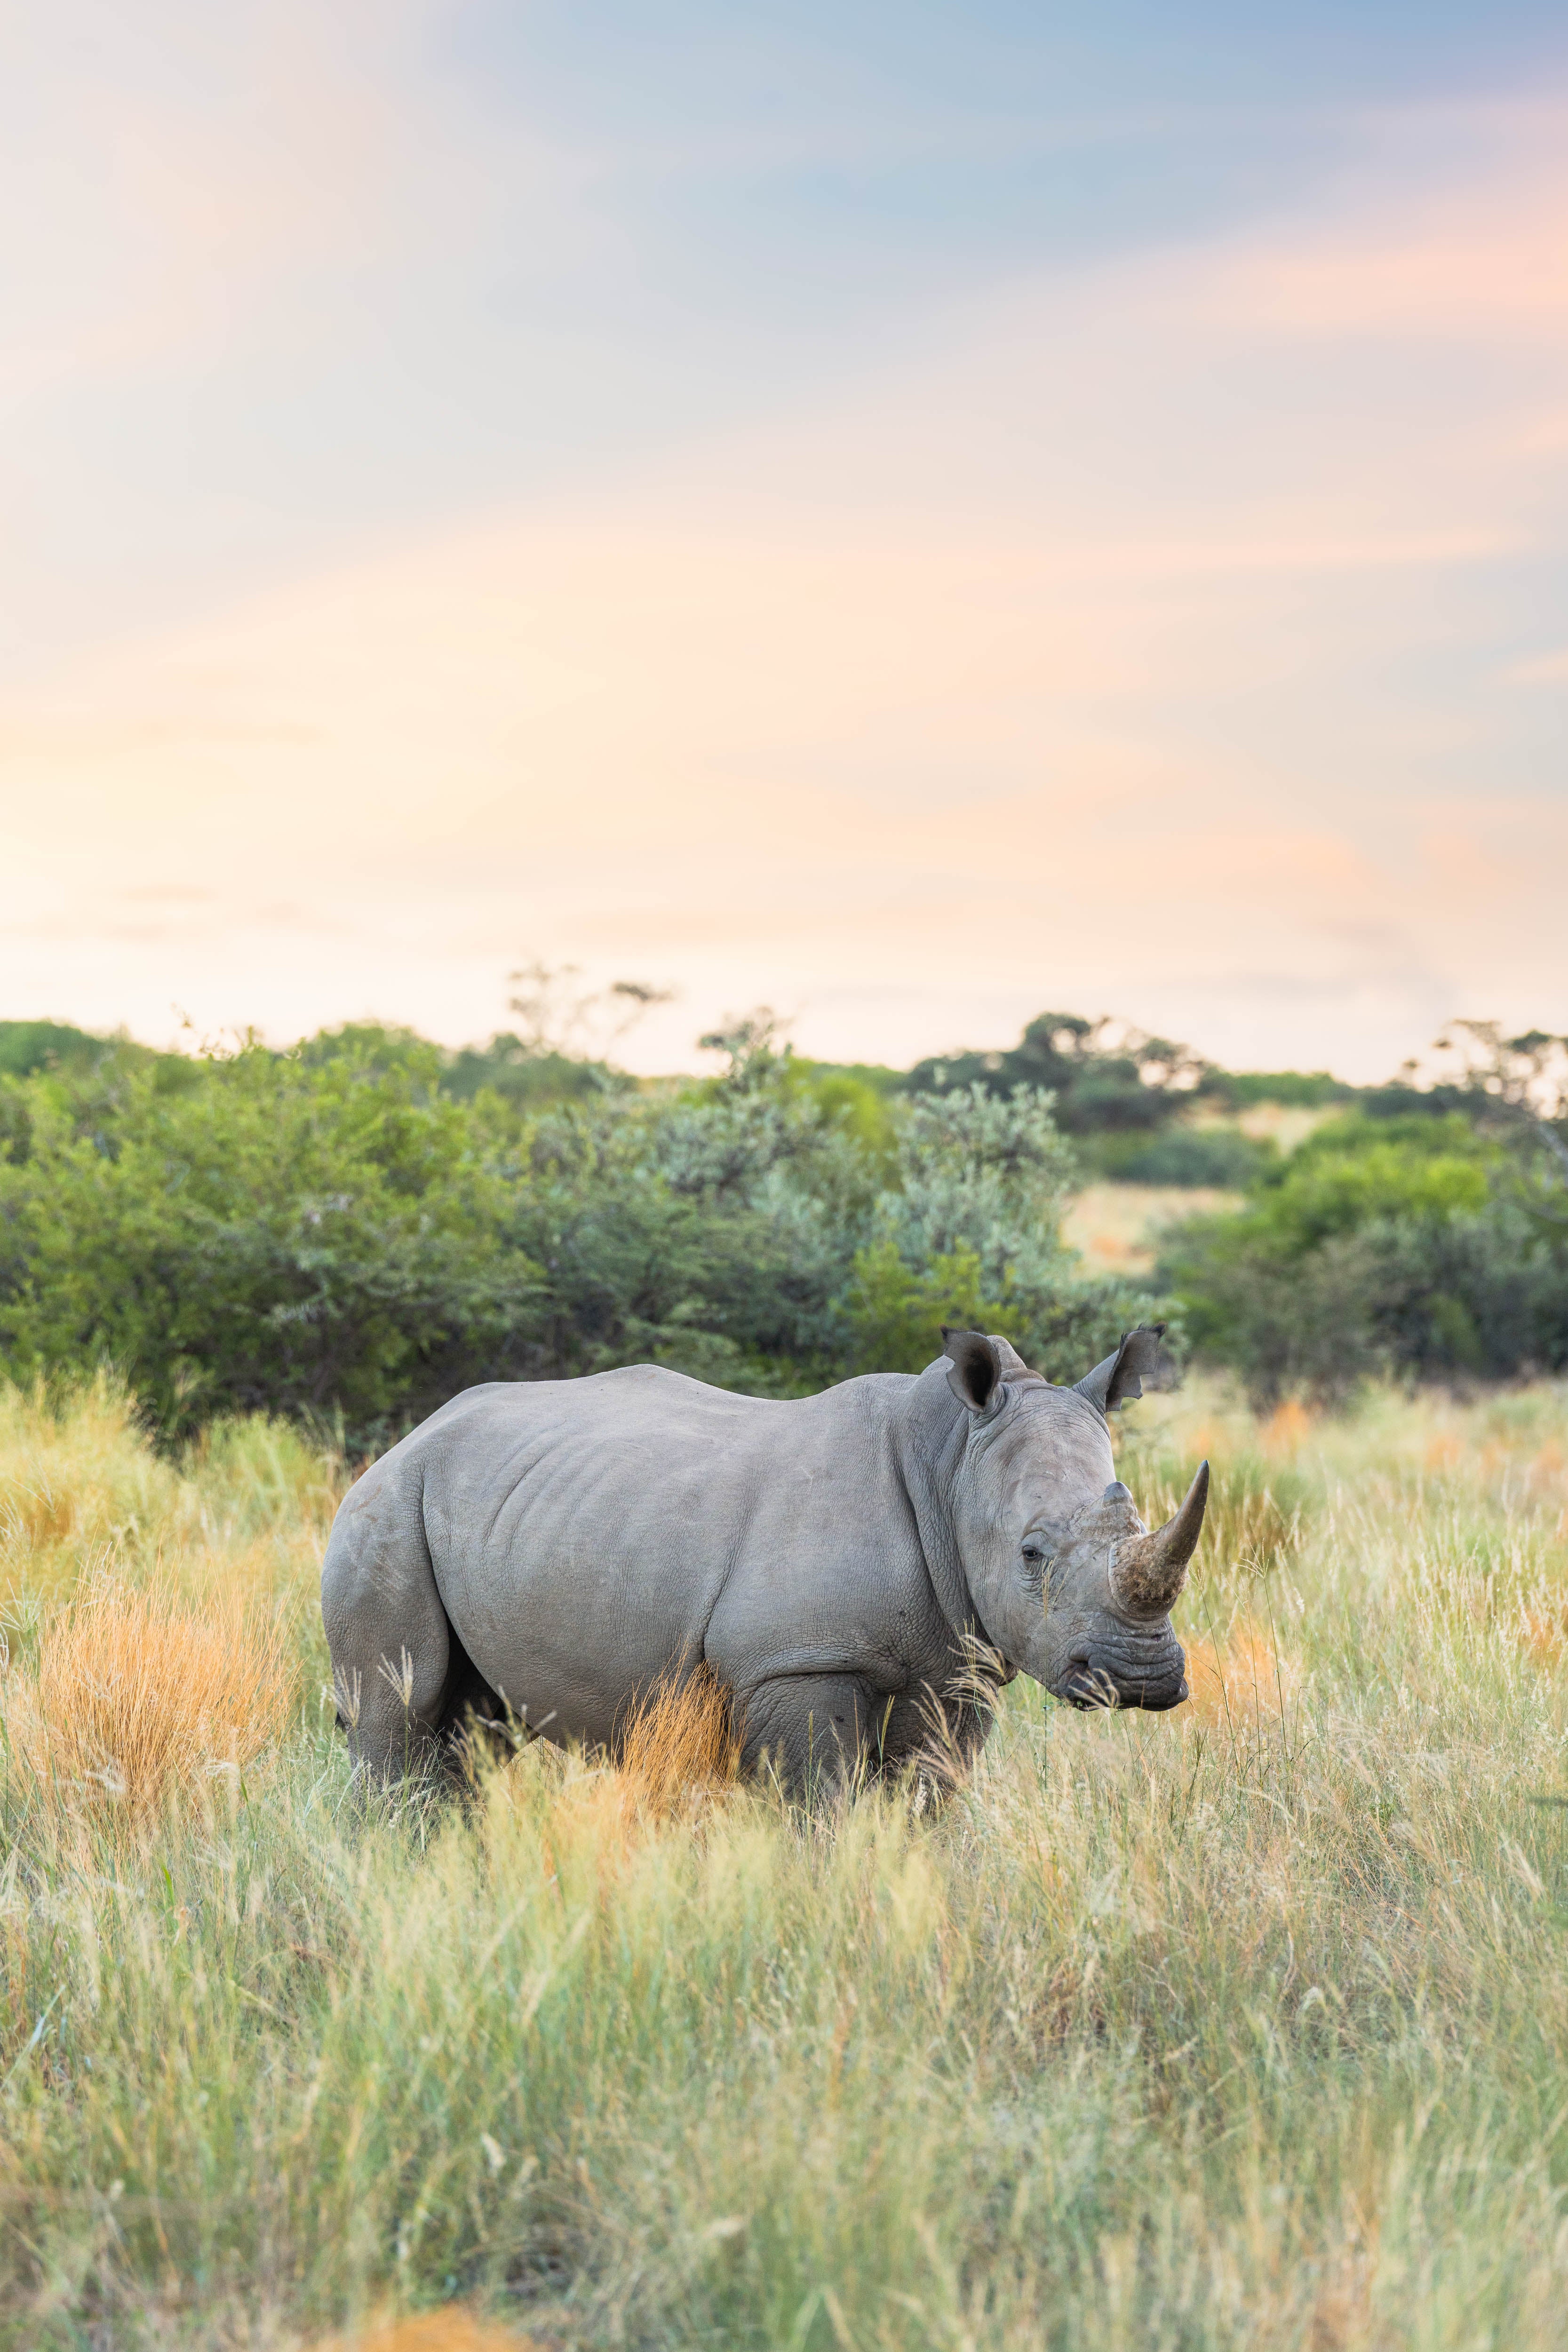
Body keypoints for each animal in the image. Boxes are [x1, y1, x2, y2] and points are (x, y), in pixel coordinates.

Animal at [321, 1324, 1208, 1791]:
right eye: (1031, 1553)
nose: (1140, 1679)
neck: (952, 1461)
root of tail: (410, 1436)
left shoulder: (959, 1666)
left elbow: (926, 1799)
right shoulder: (798, 1661)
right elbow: (822, 1807)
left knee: (476, 1727)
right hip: (385, 1508)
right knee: (397, 1711)